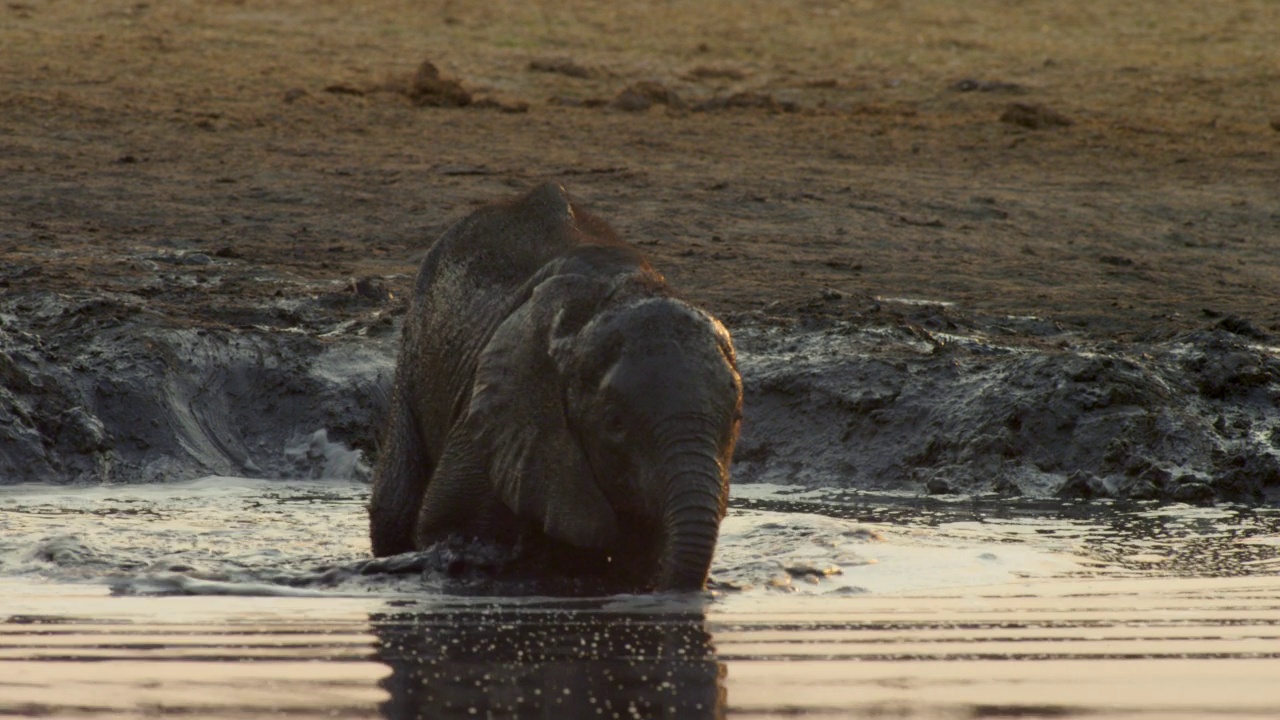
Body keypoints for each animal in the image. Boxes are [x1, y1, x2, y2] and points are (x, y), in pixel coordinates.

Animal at [371, 180, 747, 589]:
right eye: (614, 424)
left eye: (735, 420)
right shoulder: (493, 421)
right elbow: (447, 525)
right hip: (413, 357)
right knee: (391, 509)